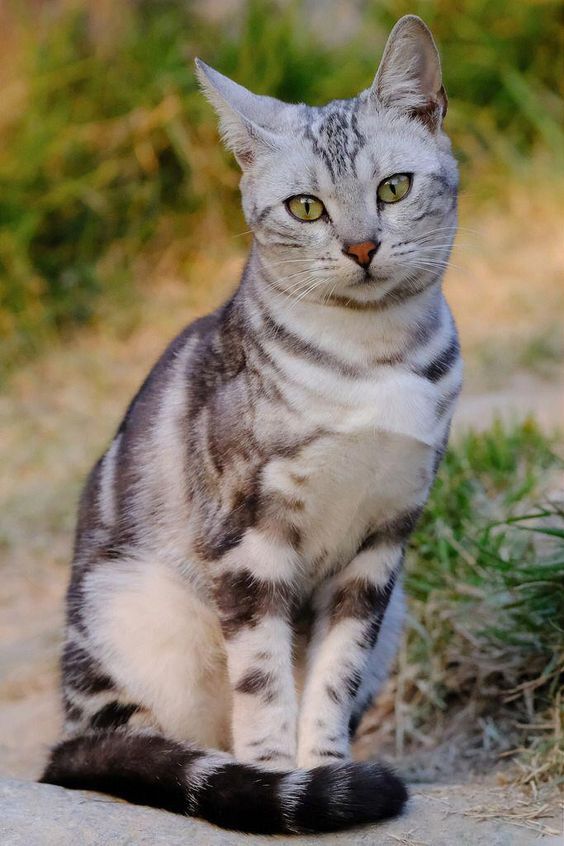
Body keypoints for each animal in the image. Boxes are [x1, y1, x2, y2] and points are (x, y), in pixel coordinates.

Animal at [40, 16, 462, 840]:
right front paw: (275, 782)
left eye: (393, 188)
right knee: (147, 742)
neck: (374, 359)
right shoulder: (249, 539)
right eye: (306, 208)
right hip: (135, 606)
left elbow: (331, 678)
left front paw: (324, 771)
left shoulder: (381, 545)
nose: (362, 246)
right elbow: (265, 687)